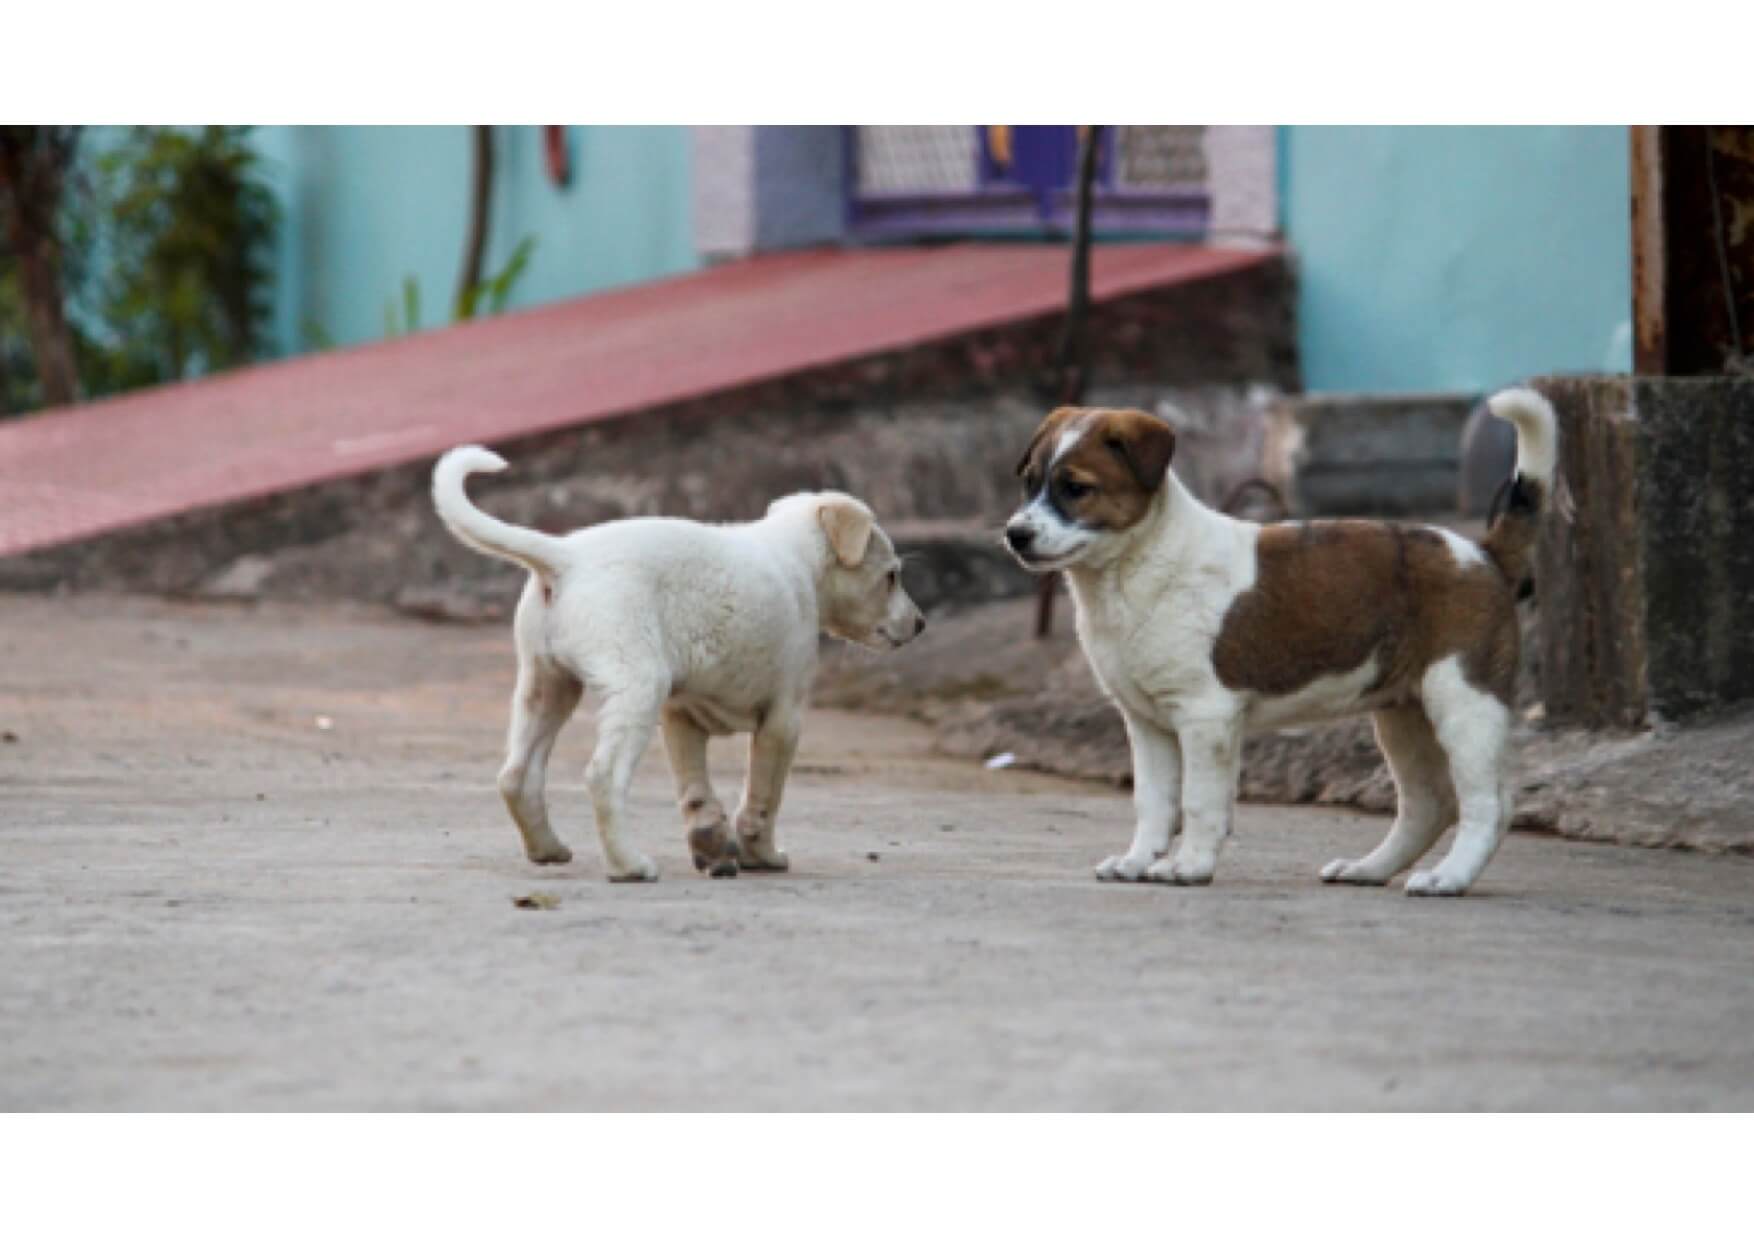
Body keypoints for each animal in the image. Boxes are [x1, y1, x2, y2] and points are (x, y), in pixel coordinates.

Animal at [431, 444, 926, 877]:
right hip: (637, 687)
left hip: (547, 687)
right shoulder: (784, 720)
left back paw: (548, 849)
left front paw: (711, 843)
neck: (796, 558)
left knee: (517, 775)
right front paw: (762, 855)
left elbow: (695, 791)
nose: (921, 624)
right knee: (603, 777)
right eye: (891, 577)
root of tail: (568, 557)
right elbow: (763, 797)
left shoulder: (681, 715)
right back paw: (628, 866)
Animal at [1010, 391, 1557, 891]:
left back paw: (1449, 877)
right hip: (1404, 713)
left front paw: (1189, 866)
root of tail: (1482, 553)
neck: (1134, 564)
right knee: (1429, 803)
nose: (1015, 534)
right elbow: (1154, 801)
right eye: (1030, 483)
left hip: (1464, 701)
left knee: (1488, 804)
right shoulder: (1147, 723)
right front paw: (1138, 861)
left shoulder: (1204, 716)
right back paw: (1368, 870)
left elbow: (1199, 801)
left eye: (1076, 488)